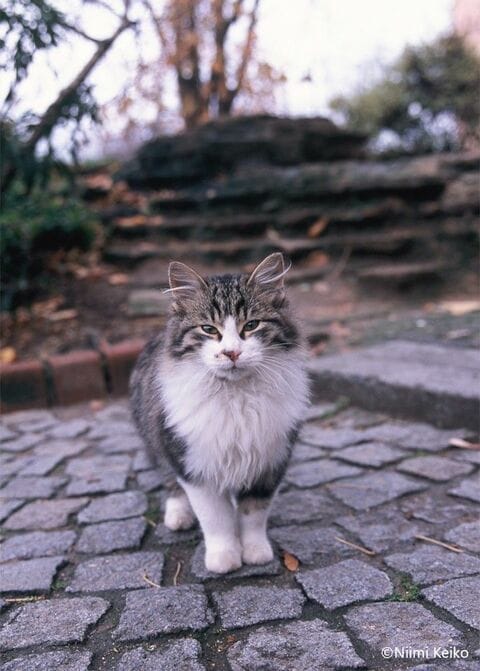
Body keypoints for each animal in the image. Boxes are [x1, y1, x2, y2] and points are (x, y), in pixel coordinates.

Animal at [130, 253, 310, 574]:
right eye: (209, 329)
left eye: (251, 325)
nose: (231, 353)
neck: (236, 398)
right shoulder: (194, 465)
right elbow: (216, 518)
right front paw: (224, 559)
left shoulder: (270, 462)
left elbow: (253, 514)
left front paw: (255, 552)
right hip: (157, 440)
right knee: (169, 480)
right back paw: (178, 516)